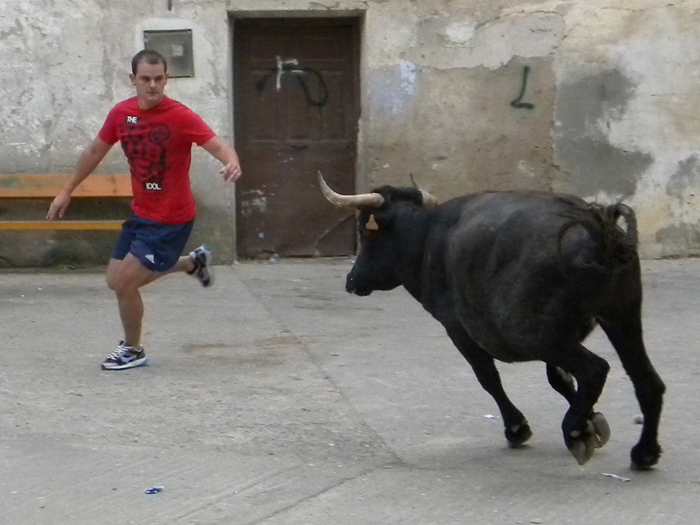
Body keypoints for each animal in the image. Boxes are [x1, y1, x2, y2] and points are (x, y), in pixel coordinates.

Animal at [320, 174, 664, 468]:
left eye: (365, 231)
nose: (352, 280)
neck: (429, 237)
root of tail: (599, 233)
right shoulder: (563, 334)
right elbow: (559, 379)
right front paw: (592, 421)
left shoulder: (458, 328)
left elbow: (488, 377)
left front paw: (518, 428)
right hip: (621, 316)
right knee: (647, 381)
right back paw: (644, 452)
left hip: (535, 335)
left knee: (595, 370)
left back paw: (575, 433)